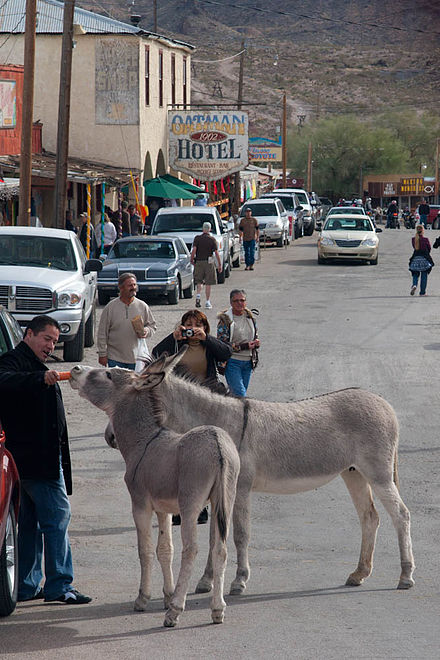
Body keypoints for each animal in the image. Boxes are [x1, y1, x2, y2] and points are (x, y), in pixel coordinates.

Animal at [70, 354, 239, 628]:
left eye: (109, 374)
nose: (74, 369)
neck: (143, 440)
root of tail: (217, 443)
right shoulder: (164, 510)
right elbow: (165, 550)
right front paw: (167, 596)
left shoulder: (140, 505)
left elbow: (145, 550)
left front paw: (144, 599)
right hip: (224, 500)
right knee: (220, 548)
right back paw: (217, 609)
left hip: (191, 504)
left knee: (191, 549)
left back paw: (176, 611)